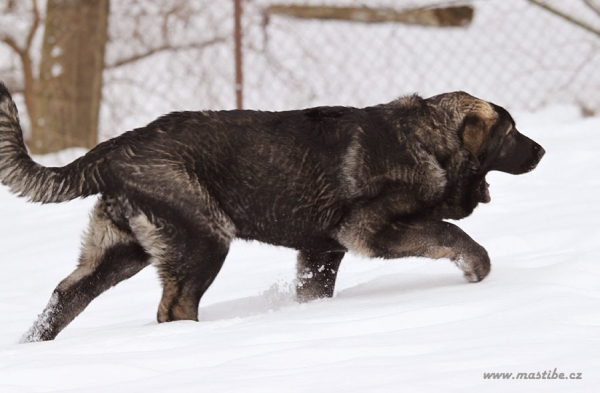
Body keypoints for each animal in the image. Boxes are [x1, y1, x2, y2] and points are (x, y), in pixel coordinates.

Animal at [0, 82, 544, 340]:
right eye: (511, 132)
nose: (540, 152)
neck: (427, 139)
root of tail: (115, 148)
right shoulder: (367, 229)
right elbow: (452, 235)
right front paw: (476, 270)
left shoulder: (321, 252)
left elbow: (313, 293)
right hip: (203, 242)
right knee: (174, 309)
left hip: (119, 253)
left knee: (64, 298)